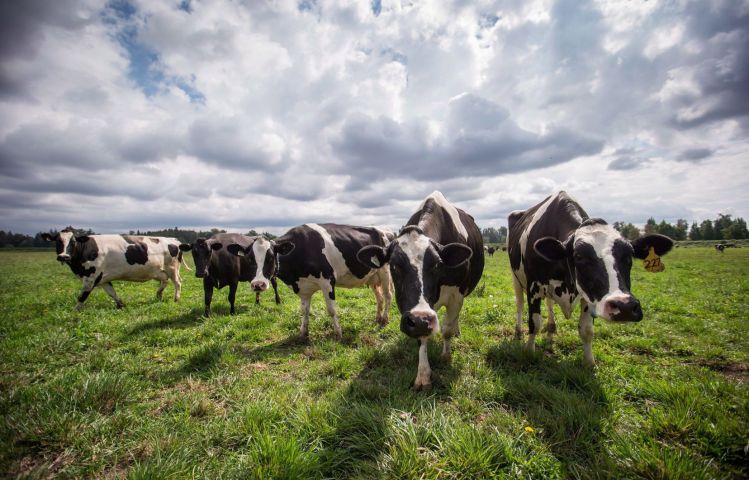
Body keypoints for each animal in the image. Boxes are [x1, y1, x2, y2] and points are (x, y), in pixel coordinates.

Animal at [42, 229, 185, 310]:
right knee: (165, 281)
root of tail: (174, 240)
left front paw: (74, 312)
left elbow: (82, 296)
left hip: (172, 268)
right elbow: (112, 293)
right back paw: (159, 295)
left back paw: (176, 298)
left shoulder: (90, 277)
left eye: (73, 242)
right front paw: (121, 305)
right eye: (58, 241)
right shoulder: (103, 279)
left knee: (177, 282)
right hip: (159, 271)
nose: (63, 256)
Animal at [227, 224, 394, 340]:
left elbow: (331, 310)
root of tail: (387, 231)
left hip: (385, 272)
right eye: (249, 259)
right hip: (373, 277)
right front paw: (303, 333)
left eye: (271, 257)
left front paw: (338, 333)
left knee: (388, 295)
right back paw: (378, 318)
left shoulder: (327, 281)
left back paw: (385, 319)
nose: (258, 285)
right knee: (379, 297)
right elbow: (304, 310)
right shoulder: (303, 288)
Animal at [357, 191, 484, 391]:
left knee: (453, 321)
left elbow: (446, 329)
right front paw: (423, 375)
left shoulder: (457, 295)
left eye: (437, 264)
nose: (419, 319)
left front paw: (446, 356)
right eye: (394, 266)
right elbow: (422, 338)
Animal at [507, 191, 674, 366]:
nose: (625, 307)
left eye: (629, 256)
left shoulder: (588, 295)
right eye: (579, 257)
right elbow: (535, 322)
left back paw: (552, 327)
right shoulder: (534, 287)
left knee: (549, 303)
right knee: (520, 304)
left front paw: (589, 363)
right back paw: (518, 331)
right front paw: (529, 353)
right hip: (515, 278)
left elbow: (586, 330)